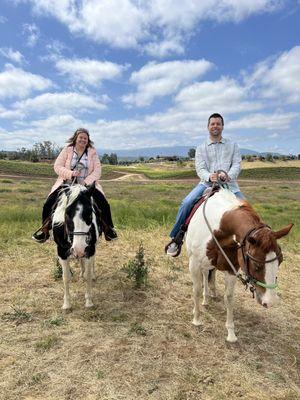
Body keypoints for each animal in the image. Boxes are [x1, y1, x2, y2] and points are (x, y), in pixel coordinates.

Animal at [185, 188, 292, 340]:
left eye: (281, 261)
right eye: (256, 264)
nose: (271, 301)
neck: (218, 229)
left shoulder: (231, 269)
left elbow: (229, 297)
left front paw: (231, 333)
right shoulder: (193, 263)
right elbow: (196, 290)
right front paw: (197, 319)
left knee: (208, 274)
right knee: (205, 276)